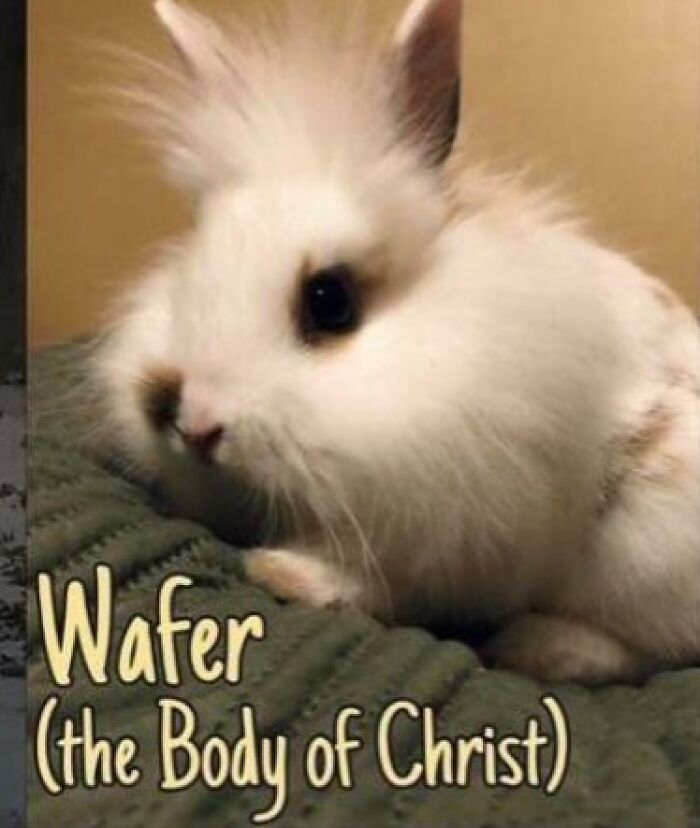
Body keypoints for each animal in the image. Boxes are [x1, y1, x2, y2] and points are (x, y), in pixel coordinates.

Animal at [94, 0, 700, 685]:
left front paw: (285, 573)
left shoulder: (450, 534)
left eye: (330, 300)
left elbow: (379, 586)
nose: (197, 427)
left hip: (647, 546)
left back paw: (538, 647)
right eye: (193, 262)